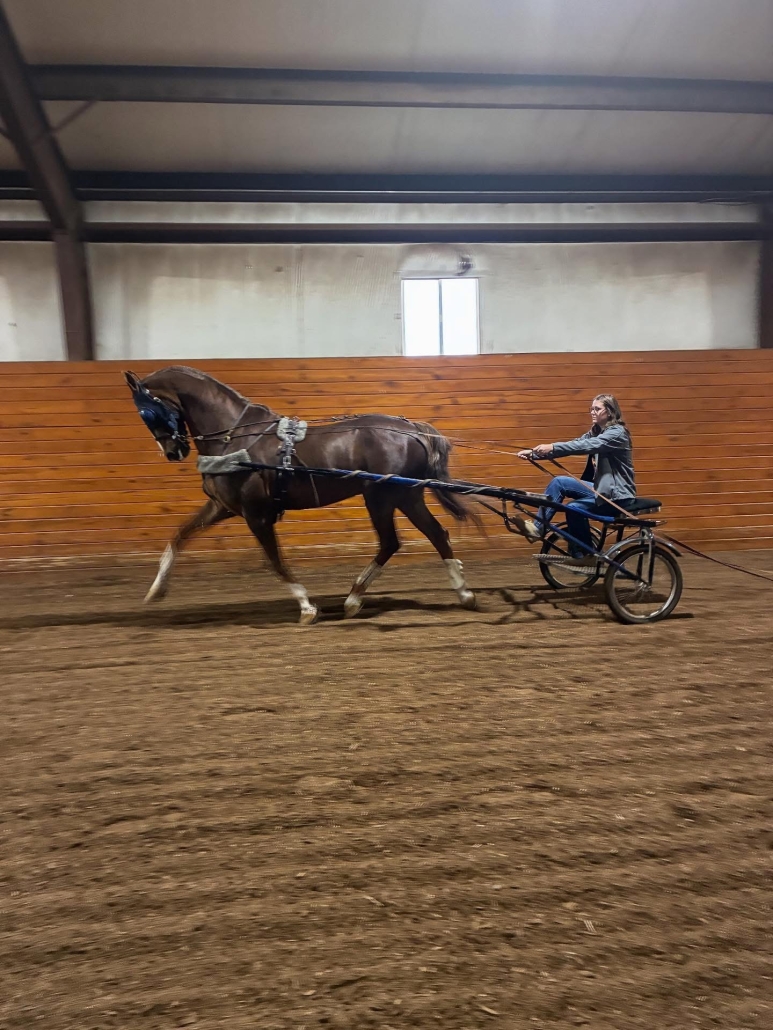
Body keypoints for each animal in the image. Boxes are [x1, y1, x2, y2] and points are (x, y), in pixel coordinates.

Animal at [125, 366, 479, 624]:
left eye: (146, 413)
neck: (234, 437)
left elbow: (276, 561)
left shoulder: (257, 515)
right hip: (403, 497)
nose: (173, 451)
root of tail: (414, 430)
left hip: (385, 497)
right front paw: (156, 590)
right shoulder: (222, 506)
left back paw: (359, 598)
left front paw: (307, 607)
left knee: (398, 540)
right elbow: (179, 537)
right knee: (429, 535)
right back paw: (458, 594)